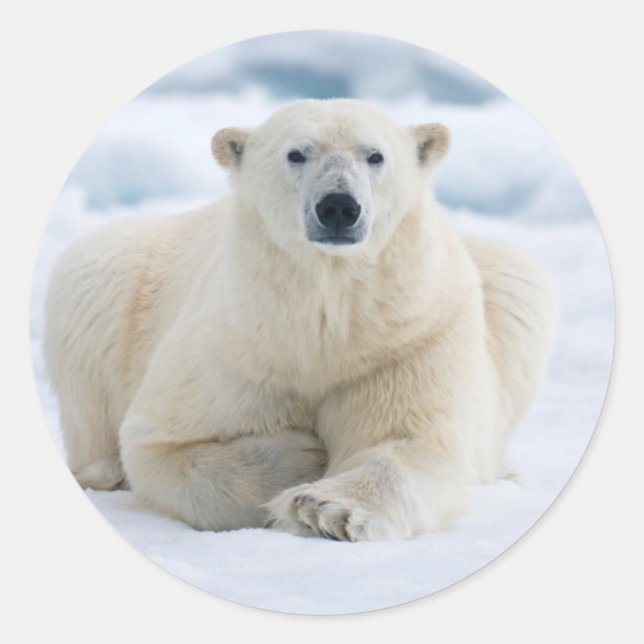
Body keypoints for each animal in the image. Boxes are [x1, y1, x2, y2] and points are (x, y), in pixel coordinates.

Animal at [44, 99, 556, 541]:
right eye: (296, 153)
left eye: (375, 155)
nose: (338, 206)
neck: (323, 320)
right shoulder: (235, 344)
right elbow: (160, 444)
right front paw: (303, 456)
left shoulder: (411, 338)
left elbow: (411, 441)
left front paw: (324, 508)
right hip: (113, 271)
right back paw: (103, 471)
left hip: (505, 282)